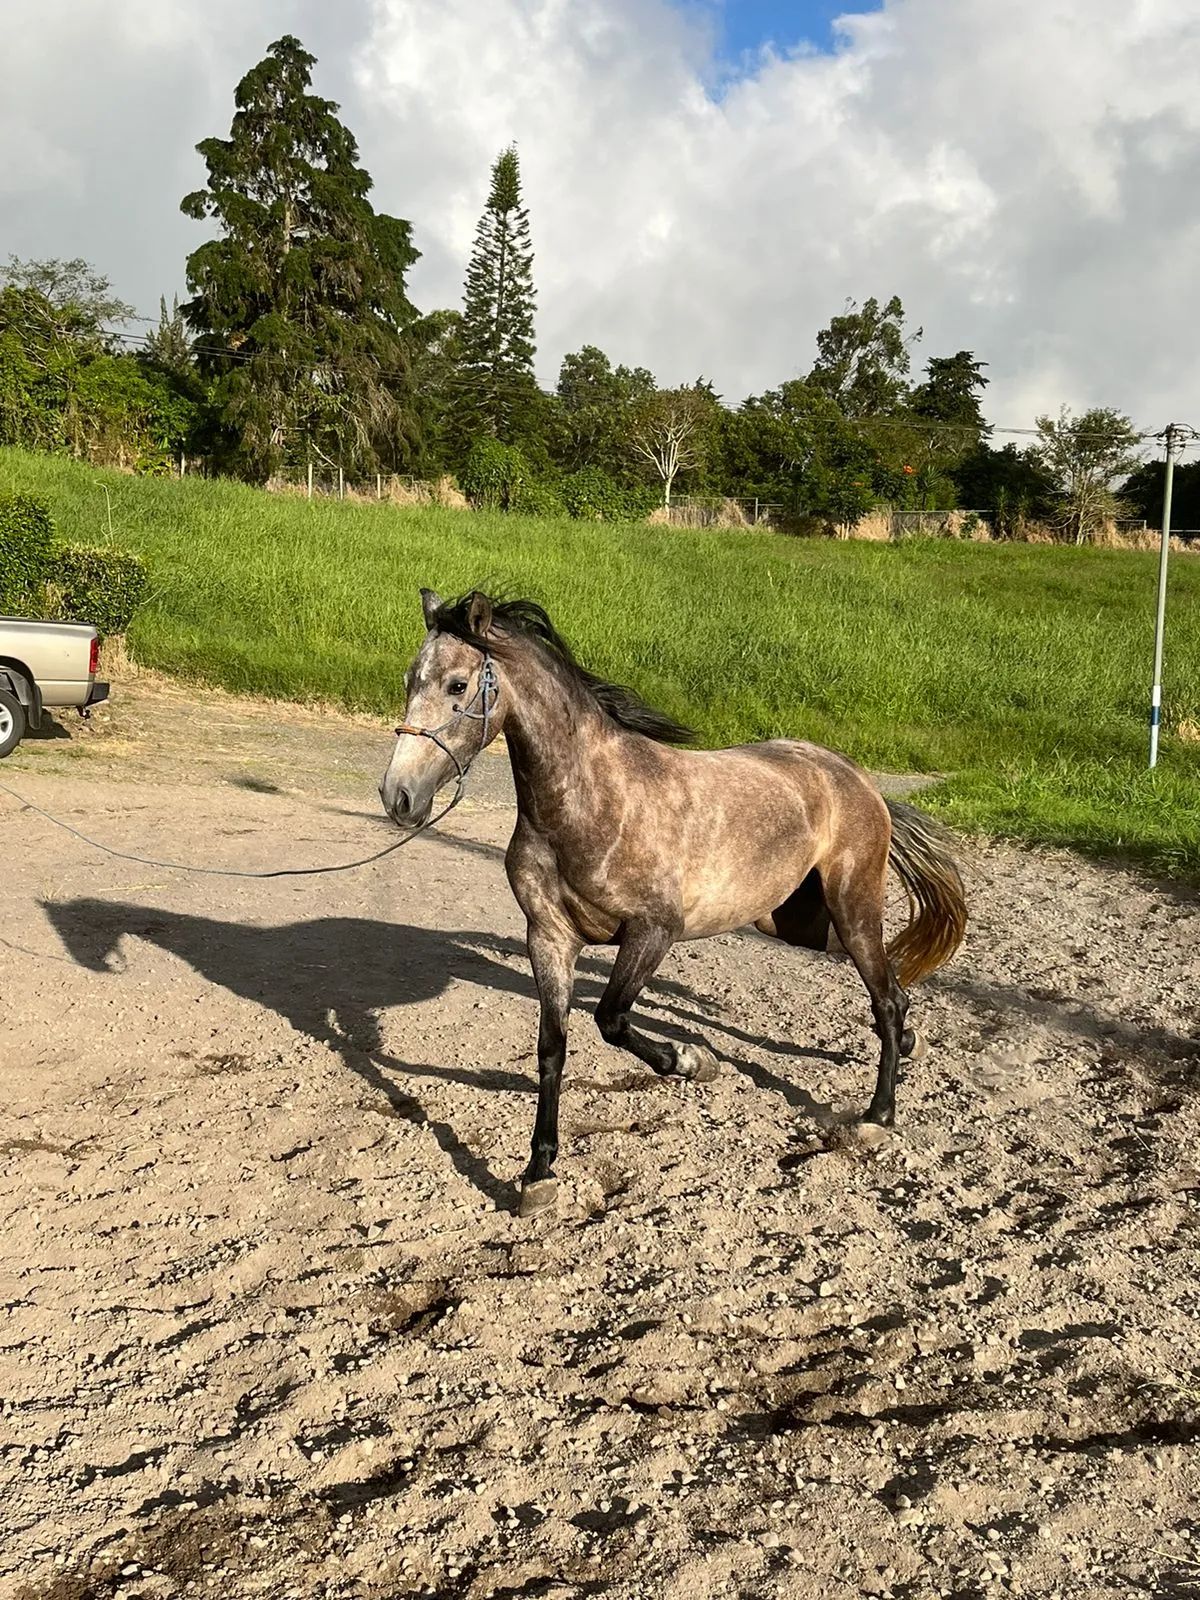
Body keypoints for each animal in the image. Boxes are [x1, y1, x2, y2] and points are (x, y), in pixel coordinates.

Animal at [380, 589, 967, 1217]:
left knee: (886, 995)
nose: (398, 797)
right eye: (410, 679)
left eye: (458, 685)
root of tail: (857, 780)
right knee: (892, 986)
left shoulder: (653, 931)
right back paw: (906, 1046)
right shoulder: (550, 939)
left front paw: (693, 1062)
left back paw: (878, 1115)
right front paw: (538, 1173)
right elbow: (552, 1049)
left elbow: (611, 1019)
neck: (592, 805)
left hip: (851, 907)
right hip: (799, 922)